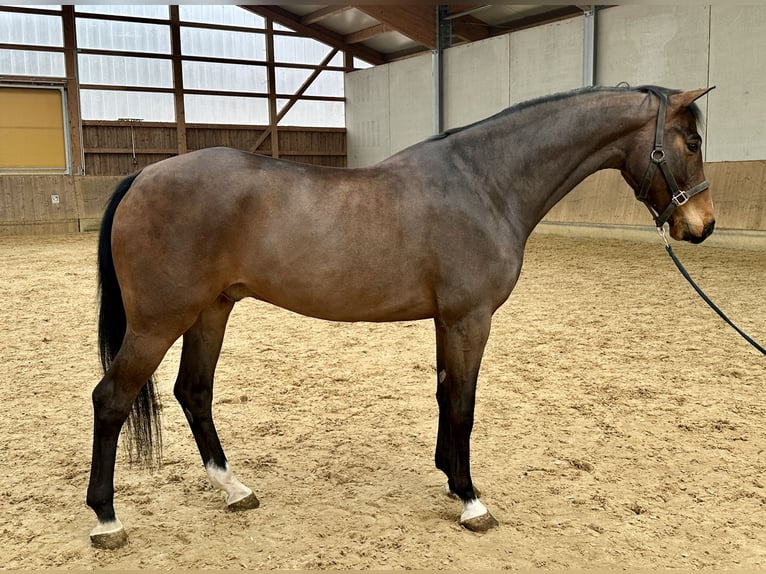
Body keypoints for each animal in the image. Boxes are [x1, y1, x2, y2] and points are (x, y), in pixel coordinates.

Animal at [87, 84, 715, 549]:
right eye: (689, 141)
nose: (701, 226)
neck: (483, 184)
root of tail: (143, 175)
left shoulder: (447, 320)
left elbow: (444, 395)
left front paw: (449, 479)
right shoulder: (469, 318)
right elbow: (463, 404)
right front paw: (471, 500)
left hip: (210, 313)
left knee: (193, 392)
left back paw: (234, 489)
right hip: (158, 323)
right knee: (112, 399)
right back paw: (107, 519)